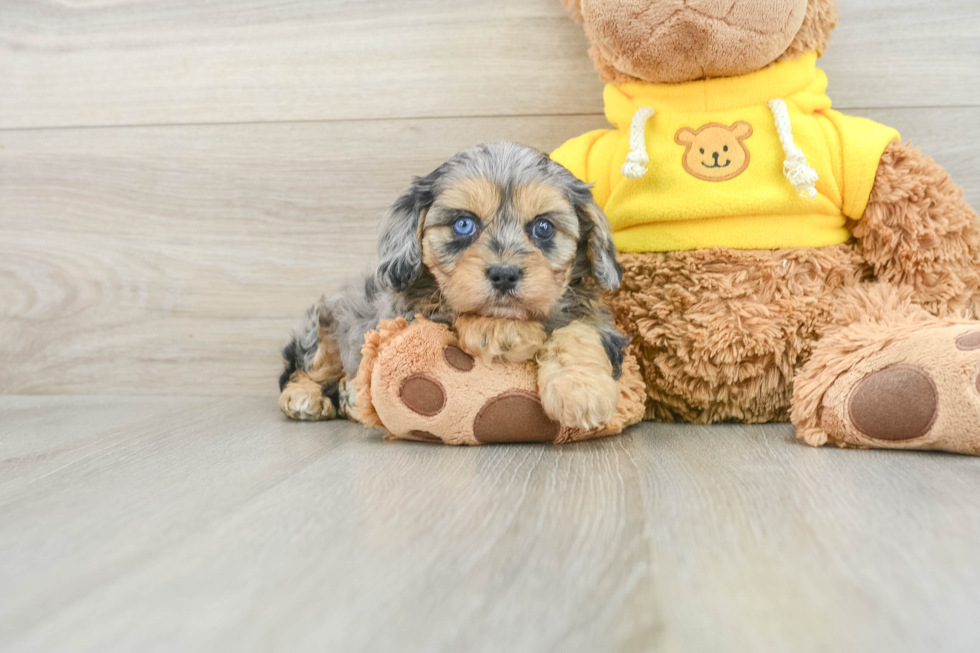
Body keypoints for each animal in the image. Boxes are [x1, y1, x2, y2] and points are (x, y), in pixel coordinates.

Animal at [278, 141, 628, 428]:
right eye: (463, 224)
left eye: (543, 227)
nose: (504, 274)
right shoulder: (409, 313)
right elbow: (454, 309)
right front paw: (500, 332)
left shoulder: (592, 317)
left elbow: (578, 332)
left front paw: (581, 390)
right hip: (323, 330)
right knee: (302, 367)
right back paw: (306, 397)